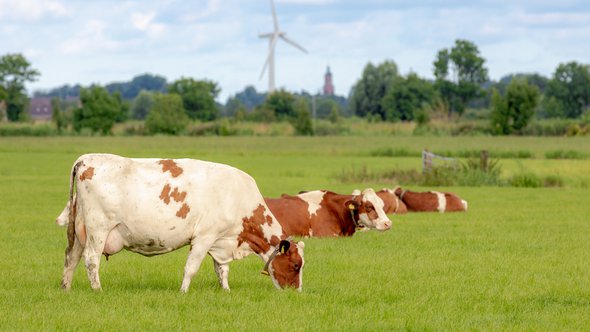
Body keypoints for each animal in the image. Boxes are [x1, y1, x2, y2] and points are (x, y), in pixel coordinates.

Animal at [57, 154, 308, 292]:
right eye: (296, 265)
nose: (296, 292)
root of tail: (86, 159)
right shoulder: (205, 236)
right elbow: (191, 268)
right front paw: (183, 292)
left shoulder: (220, 239)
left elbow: (222, 269)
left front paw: (226, 291)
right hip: (98, 228)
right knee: (91, 260)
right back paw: (98, 290)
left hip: (80, 231)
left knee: (71, 259)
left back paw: (66, 289)